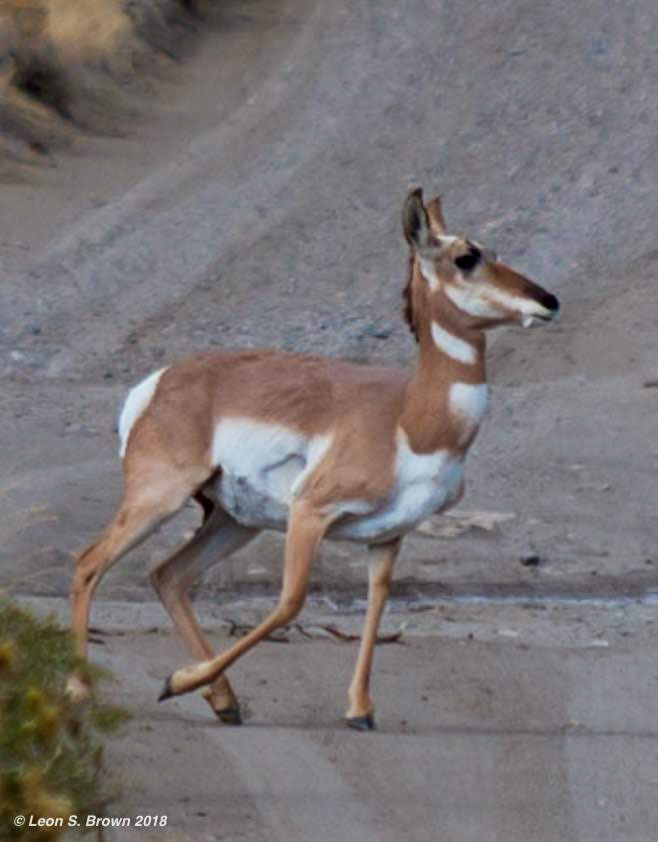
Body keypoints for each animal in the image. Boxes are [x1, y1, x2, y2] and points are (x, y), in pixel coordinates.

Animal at [67, 188, 559, 730]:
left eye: (493, 250)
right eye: (466, 257)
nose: (548, 300)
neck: (409, 416)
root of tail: (162, 380)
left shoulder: (388, 537)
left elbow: (377, 603)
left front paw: (360, 709)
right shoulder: (310, 513)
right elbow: (290, 602)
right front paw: (175, 682)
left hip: (235, 522)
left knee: (168, 576)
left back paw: (223, 700)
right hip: (160, 499)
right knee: (88, 563)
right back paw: (81, 691)